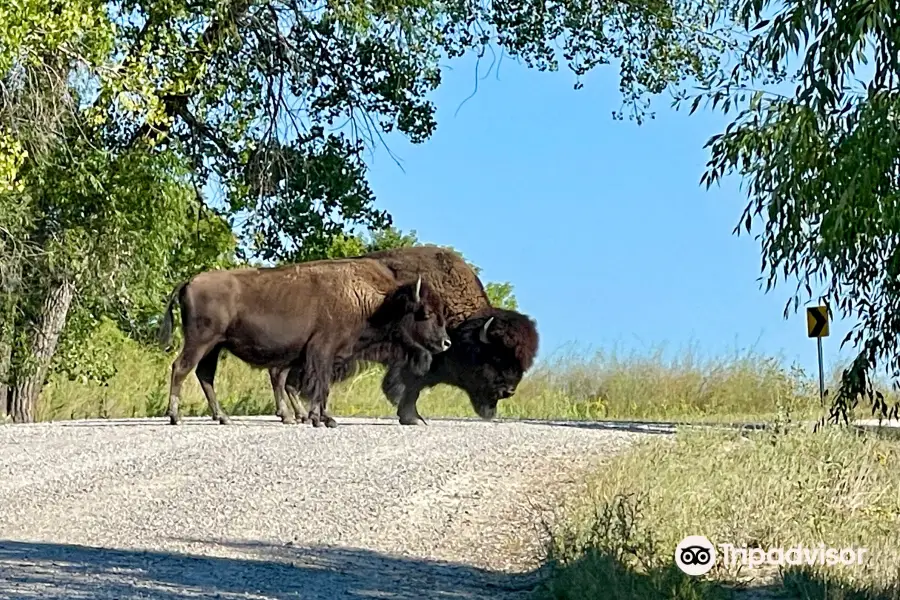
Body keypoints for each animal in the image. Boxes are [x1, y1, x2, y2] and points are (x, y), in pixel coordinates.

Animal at [159, 258, 454, 426]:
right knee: (181, 368)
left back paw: (224, 417)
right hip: (201, 341)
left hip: (215, 346)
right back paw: (175, 416)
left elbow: (317, 386)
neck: (373, 302)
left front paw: (322, 418)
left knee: (205, 375)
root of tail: (190, 281)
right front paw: (321, 419)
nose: (446, 343)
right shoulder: (323, 351)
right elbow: (319, 385)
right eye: (426, 313)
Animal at [278, 246, 536, 424]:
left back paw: (296, 415)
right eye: (495, 356)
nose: (508, 390)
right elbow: (409, 386)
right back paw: (297, 415)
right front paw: (413, 418)